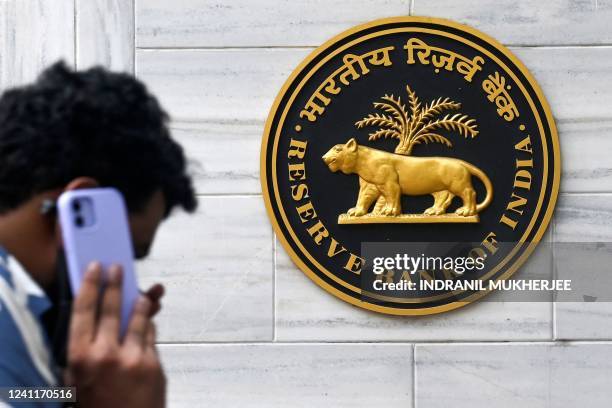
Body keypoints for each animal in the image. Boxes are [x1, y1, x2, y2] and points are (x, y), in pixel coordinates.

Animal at [322, 138, 494, 217]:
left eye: (337, 149)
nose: (323, 157)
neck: (361, 162)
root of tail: (460, 162)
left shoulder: (389, 183)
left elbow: (392, 197)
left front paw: (390, 211)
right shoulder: (369, 185)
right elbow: (363, 198)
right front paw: (356, 212)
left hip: (458, 184)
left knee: (469, 193)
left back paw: (466, 212)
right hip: (442, 188)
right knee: (443, 198)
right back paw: (433, 211)